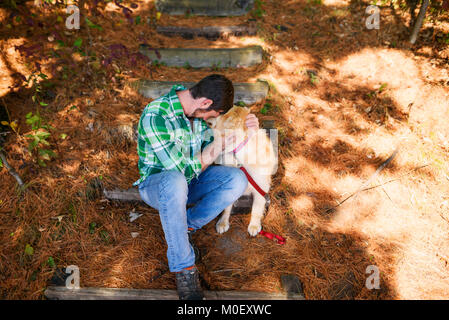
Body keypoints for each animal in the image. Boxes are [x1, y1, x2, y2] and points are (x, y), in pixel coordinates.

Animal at [206, 106, 276, 236]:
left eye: (222, 113)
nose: (207, 119)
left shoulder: (261, 188)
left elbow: (256, 209)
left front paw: (254, 225)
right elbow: (226, 208)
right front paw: (223, 222)